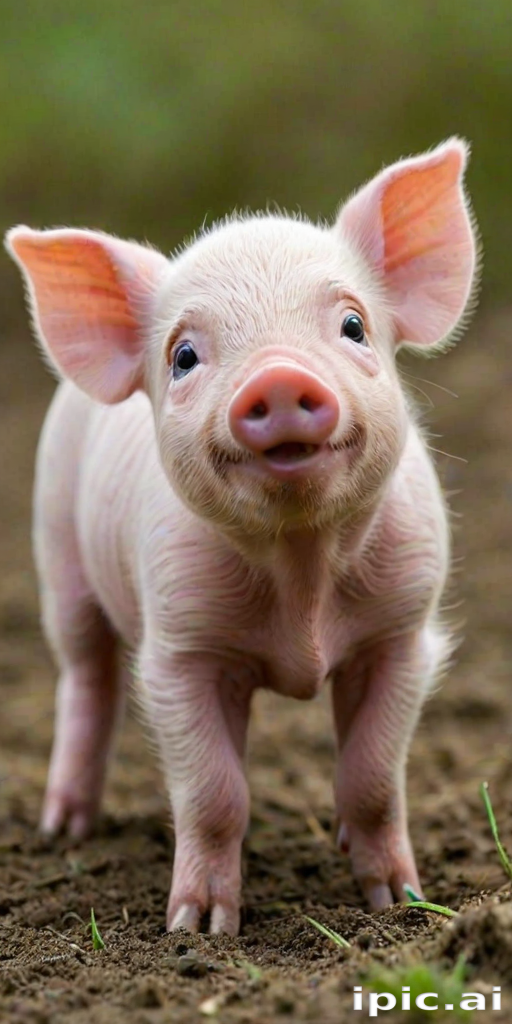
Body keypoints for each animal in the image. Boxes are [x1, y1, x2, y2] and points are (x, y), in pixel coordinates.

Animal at [5, 137, 478, 936]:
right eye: (184, 356)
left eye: (354, 326)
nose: (279, 378)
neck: (302, 569)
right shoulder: (179, 651)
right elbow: (214, 793)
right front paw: (197, 929)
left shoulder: (403, 632)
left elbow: (374, 776)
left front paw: (398, 900)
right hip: (58, 553)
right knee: (86, 678)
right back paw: (63, 830)